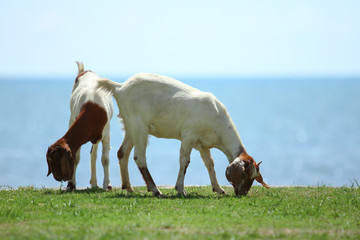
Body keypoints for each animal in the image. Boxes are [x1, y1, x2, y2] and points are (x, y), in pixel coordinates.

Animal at [45, 62, 112, 190]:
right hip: (72, 117)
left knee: (94, 155)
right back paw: (93, 183)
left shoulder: (106, 134)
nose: (58, 178)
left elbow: (105, 159)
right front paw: (71, 184)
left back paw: (94, 183)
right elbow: (76, 157)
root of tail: (86, 71)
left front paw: (107, 185)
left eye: (54, 159)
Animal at [97, 73, 268, 197]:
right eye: (245, 174)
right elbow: (184, 162)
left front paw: (218, 188)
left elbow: (210, 164)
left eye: (254, 177)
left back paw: (129, 187)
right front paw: (180, 189)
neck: (217, 119)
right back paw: (155, 190)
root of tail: (120, 87)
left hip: (130, 127)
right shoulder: (188, 136)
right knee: (139, 157)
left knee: (122, 153)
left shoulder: (203, 145)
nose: (243, 193)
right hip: (139, 126)